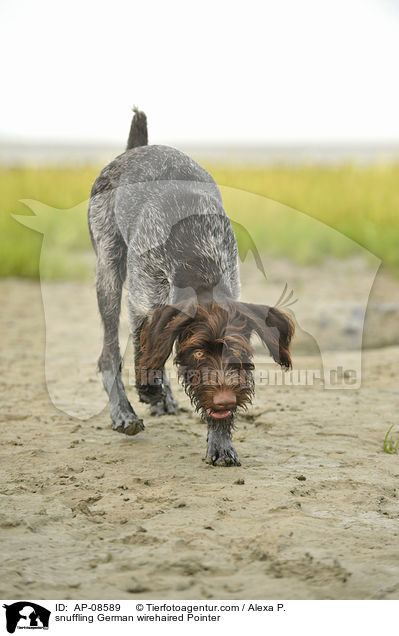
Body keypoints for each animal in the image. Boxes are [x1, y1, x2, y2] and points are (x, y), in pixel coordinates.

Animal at [87, 108, 294, 468]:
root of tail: (135, 149)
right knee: (109, 354)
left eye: (238, 353)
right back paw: (124, 411)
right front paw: (149, 391)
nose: (225, 402)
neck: (202, 267)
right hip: (109, 274)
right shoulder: (143, 302)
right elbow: (146, 352)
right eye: (197, 352)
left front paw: (220, 438)